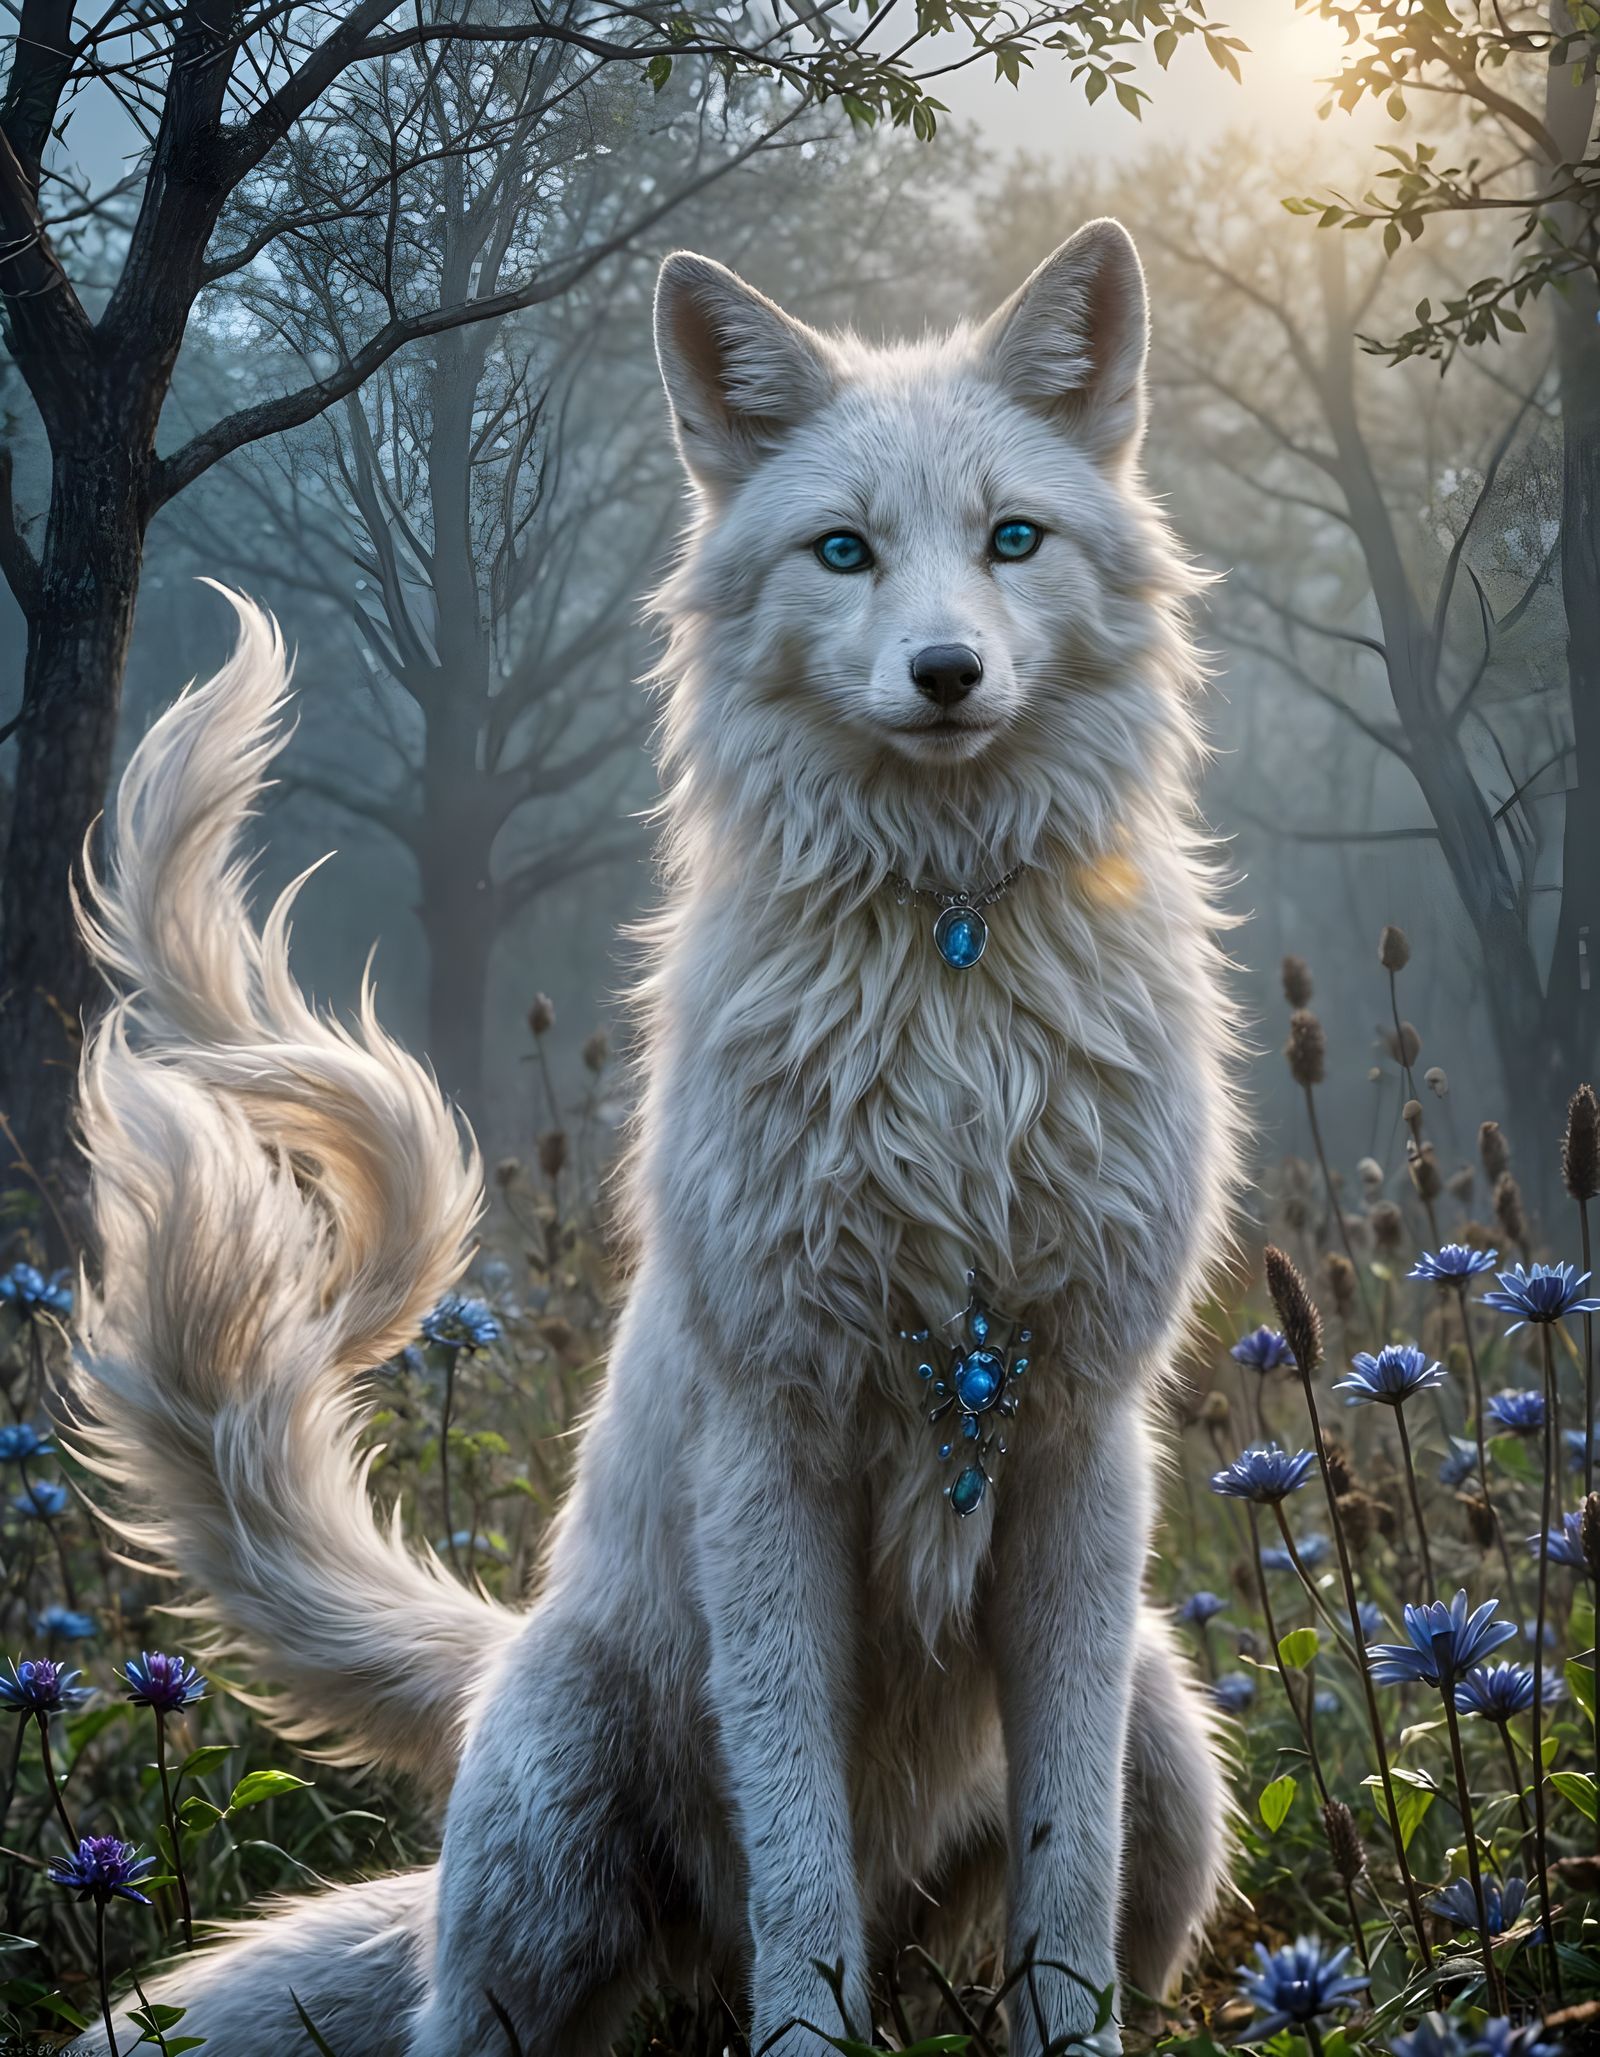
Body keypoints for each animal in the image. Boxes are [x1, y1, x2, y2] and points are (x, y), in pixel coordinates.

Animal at [66, 217, 1240, 2056]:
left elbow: (1060, 1895)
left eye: (1013, 539)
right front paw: (812, 2041)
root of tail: (496, 1659)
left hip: (1170, 1745)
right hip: (547, 1849)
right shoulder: (770, 1448)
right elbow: (803, 1874)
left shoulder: (1073, 1440)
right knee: (516, 2002)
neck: (951, 987)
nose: (948, 675)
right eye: (843, 551)